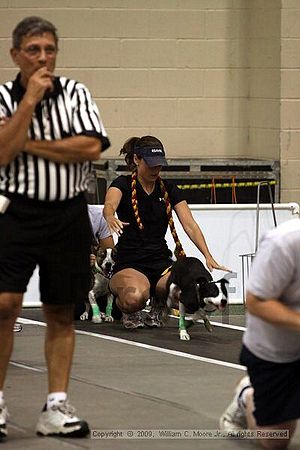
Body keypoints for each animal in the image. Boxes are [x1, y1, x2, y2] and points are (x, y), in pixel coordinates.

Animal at [103, 135, 230, 328]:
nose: (222, 302)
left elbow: (190, 224)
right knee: (135, 293)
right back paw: (132, 318)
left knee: (159, 291)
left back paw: (155, 316)